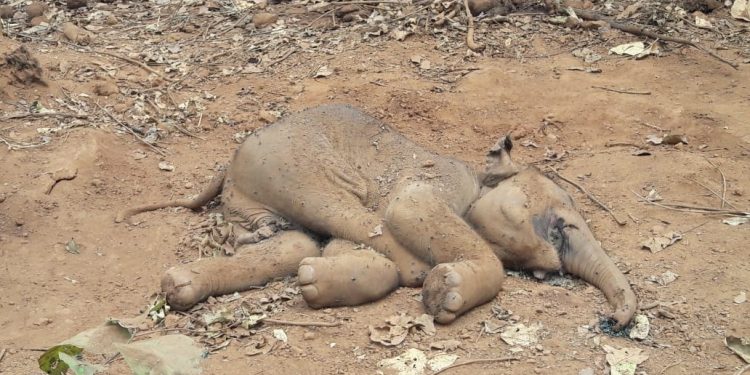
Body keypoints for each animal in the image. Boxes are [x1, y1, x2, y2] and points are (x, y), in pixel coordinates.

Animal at [119, 103, 640, 328]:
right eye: (560, 226)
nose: (610, 322)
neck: (477, 172)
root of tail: (228, 163)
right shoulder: (436, 186)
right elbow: (406, 212)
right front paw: (443, 292)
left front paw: (318, 280)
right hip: (296, 167)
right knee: (340, 215)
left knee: (293, 241)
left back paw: (181, 285)